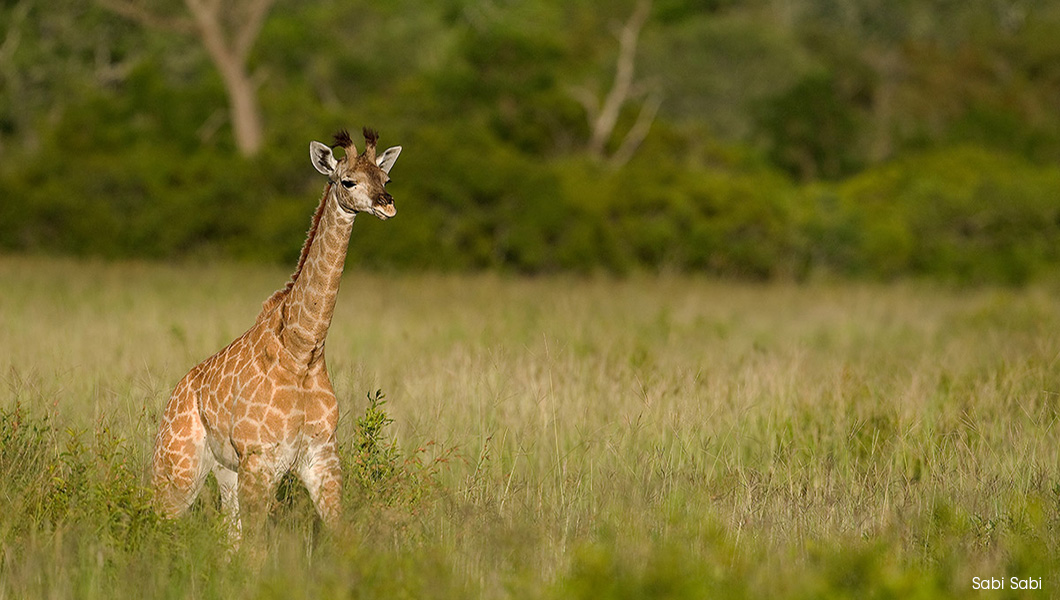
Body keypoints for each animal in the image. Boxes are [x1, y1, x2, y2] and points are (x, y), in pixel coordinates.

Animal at [148, 127, 398, 540]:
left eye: (386, 178)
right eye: (348, 180)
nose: (387, 205)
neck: (303, 349)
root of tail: (175, 394)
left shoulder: (321, 458)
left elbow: (341, 534)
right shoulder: (260, 460)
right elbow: (257, 548)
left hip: (225, 472)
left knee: (227, 535)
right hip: (177, 467)